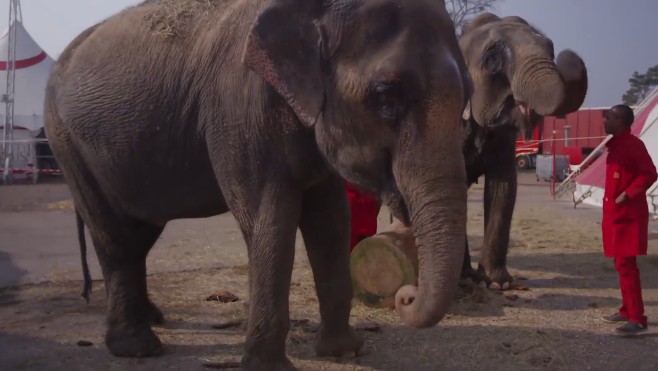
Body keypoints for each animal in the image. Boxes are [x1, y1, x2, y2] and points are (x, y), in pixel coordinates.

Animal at [43, 1, 468, 370]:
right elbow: (270, 219)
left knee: (139, 234)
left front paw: (345, 352)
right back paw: (138, 347)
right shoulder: (237, 108)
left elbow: (330, 222)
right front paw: (271, 366)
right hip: (66, 143)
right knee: (115, 238)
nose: (405, 296)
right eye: (385, 96)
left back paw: (154, 318)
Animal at [456, 13, 584, 288]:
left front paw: (497, 283)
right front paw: (464, 280)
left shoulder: (505, 141)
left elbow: (503, 188)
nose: (566, 54)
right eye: (492, 60)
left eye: (551, 48)